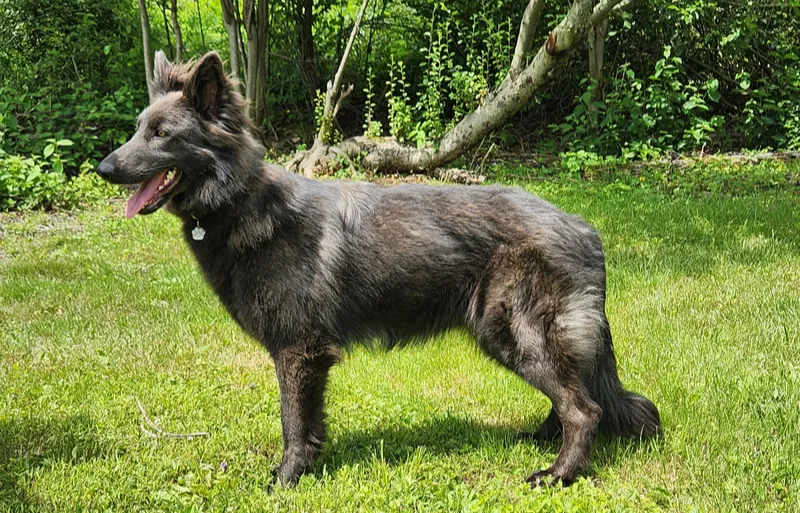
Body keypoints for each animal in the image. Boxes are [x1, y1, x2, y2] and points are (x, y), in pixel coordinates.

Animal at [98, 52, 664, 488]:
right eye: (137, 131)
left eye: (162, 134)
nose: (104, 168)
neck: (242, 203)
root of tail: (584, 228)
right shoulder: (307, 356)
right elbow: (310, 423)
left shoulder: (298, 352)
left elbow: (292, 423)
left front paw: (286, 480)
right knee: (575, 396)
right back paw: (542, 442)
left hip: (517, 333)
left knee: (584, 408)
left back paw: (558, 474)